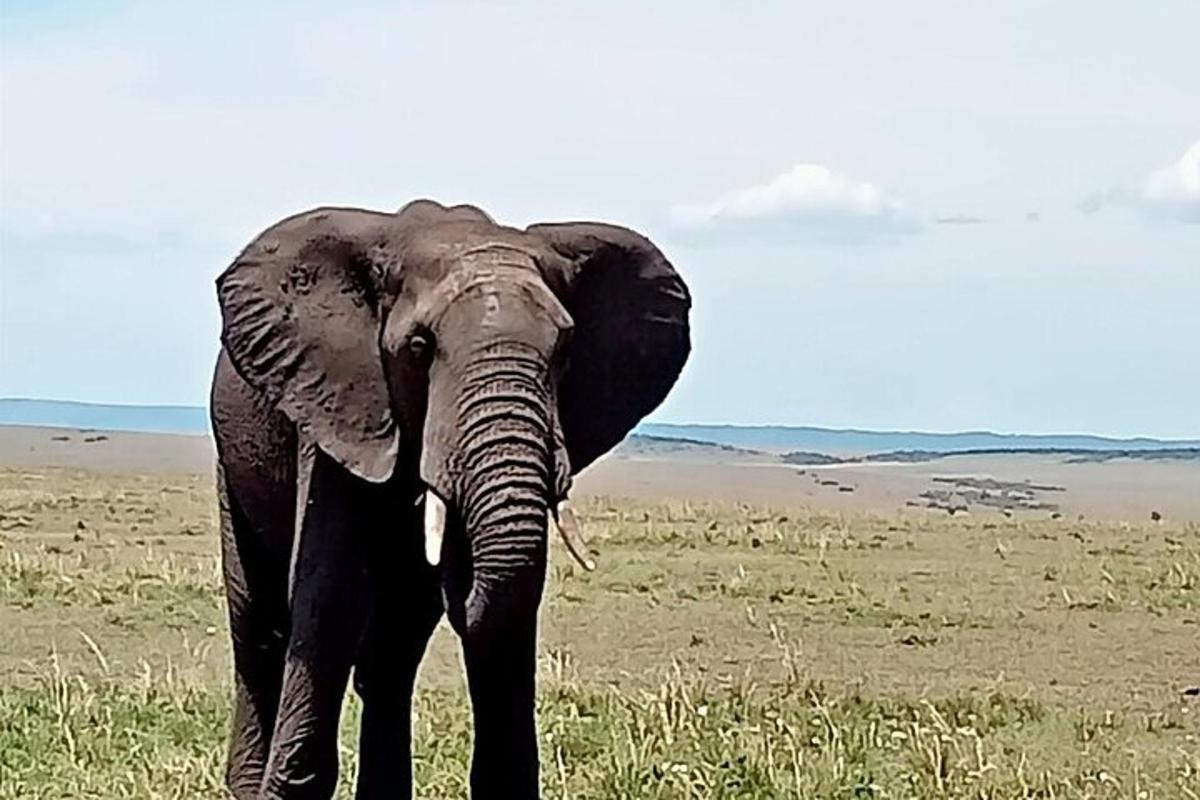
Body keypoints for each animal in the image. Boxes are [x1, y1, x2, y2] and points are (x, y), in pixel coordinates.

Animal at [211, 196, 691, 796]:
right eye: (420, 348)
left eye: (564, 350)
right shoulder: (338, 404)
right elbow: (331, 596)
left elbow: (507, 602)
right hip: (232, 462)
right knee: (260, 627)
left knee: (393, 650)